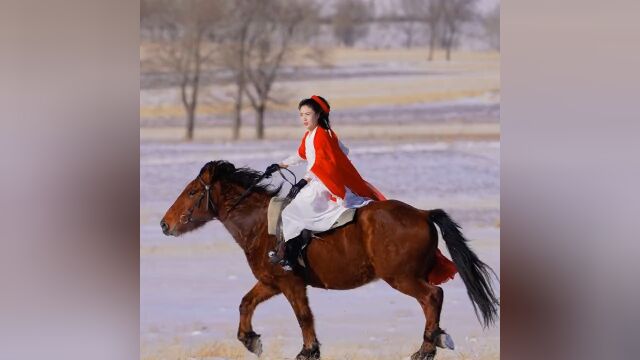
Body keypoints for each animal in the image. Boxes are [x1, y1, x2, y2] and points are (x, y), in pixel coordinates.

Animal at [160, 161, 500, 360]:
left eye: (192, 192)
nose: (165, 224)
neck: (261, 224)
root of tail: (423, 214)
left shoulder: (291, 283)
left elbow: (303, 316)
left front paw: (308, 351)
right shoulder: (271, 282)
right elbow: (246, 303)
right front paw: (250, 339)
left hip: (402, 278)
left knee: (432, 296)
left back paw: (427, 347)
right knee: (433, 299)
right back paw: (437, 339)